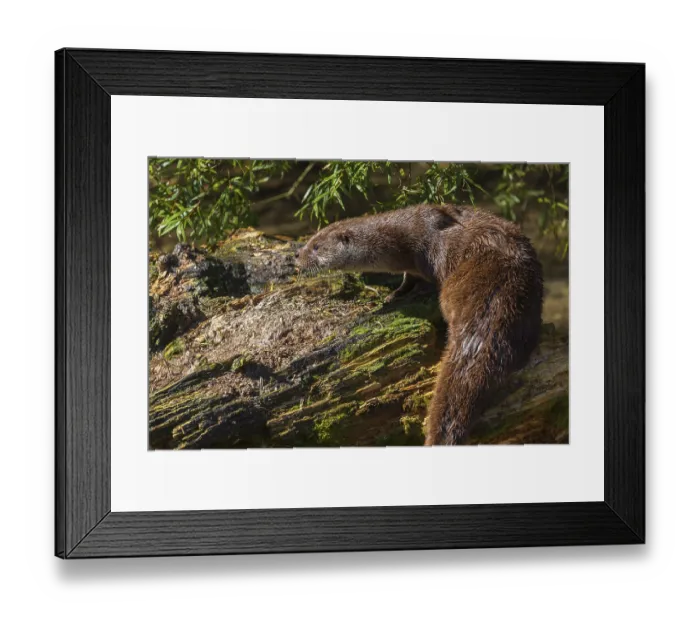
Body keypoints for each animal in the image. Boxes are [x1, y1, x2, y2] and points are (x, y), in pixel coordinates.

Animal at [296, 204, 543, 446]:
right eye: (310, 239)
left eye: (316, 246)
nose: (297, 255)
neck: (402, 238)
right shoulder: (411, 266)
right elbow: (408, 279)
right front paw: (395, 294)